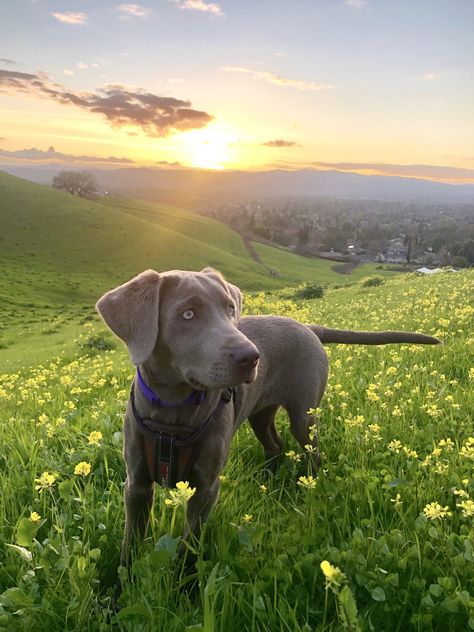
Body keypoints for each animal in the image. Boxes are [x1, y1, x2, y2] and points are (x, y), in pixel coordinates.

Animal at [96, 266, 440, 572]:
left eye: (230, 308)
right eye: (188, 314)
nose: (251, 357)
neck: (172, 413)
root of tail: (310, 327)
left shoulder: (206, 487)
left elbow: (189, 544)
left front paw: (183, 582)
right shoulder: (136, 484)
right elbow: (131, 542)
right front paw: (122, 587)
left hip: (304, 416)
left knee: (312, 452)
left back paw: (309, 487)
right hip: (260, 414)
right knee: (274, 444)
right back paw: (269, 480)